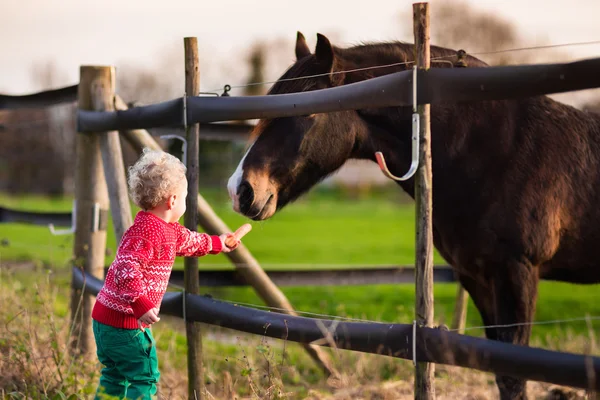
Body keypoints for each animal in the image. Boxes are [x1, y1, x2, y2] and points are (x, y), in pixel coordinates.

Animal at [227, 32, 600, 398]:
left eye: (309, 113)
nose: (240, 190)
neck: (496, 149)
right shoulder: (478, 278)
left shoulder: (517, 272)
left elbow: (513, 376)